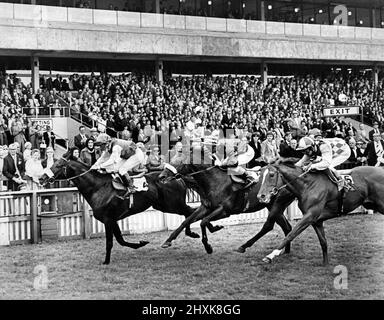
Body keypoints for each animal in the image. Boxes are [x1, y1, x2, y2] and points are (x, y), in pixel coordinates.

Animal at [39, 154, 219, 264]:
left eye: (58, 165)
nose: (41, 178)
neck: (97, 187)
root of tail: (177, 177)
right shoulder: (112, 220)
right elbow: (121, 240)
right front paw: (140, 243)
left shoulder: (108, 219)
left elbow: (111, 242)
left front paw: (106, 261)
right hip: (164, 205)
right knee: (189, 213)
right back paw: (203, 230)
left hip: (172, 204)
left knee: (190, 212)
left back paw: (207, 231)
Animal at [158, 164, 296, 254]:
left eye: (179, 160)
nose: (161, 176)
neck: (214, 181)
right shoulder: (206, 207)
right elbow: (187, 221)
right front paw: (168, 240)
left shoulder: (224, 210)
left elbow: (203, 221)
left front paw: (208, 246)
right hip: (273, 206)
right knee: (286, 227)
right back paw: (285, 250)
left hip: (275, 205)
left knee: (269, 226)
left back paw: (244, 246)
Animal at [256, 162, 384, 264]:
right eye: (261, 176)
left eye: (271, 175)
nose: (261, 196)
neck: (307, 186)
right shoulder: (316, 220)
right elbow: (323, 242)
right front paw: (325, 264)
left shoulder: (310, 215)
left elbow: (291, 234)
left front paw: (271, 255)